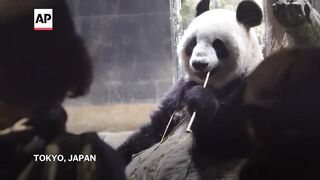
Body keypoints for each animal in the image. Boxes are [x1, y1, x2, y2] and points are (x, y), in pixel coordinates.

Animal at [119, 0, 264, 176]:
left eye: (218, 44)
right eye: (193, 43)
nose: (199, 63)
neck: (214, 85)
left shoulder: (249, 85)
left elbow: (234, 139)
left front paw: (200, 101)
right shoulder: (179, 93)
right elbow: (153, 130)